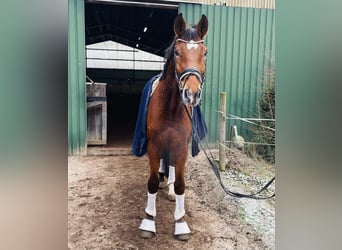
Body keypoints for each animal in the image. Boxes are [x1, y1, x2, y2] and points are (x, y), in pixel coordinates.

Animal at [139, 13, 208, 240]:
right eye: (177, 52)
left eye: (205, 53)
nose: (191, 94)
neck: (170, 107)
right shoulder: (153, 145)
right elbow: (152, 182)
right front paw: (148, 222)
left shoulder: (180, 147)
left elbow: (180, 184)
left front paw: (180, 223)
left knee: (169, 166)